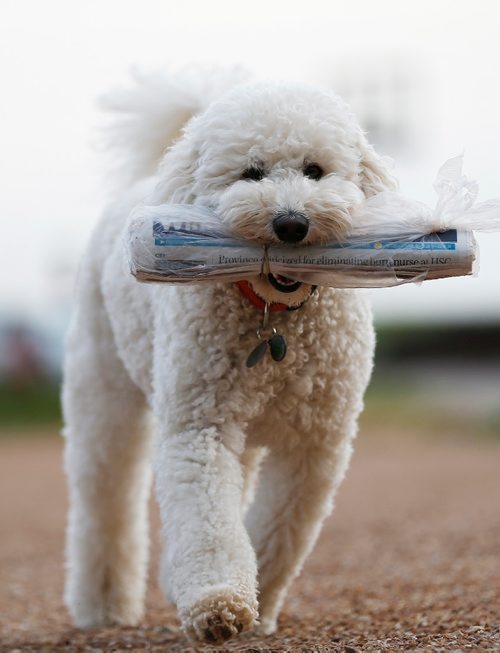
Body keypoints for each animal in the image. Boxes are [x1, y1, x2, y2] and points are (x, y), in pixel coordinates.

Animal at [62, 70, 394, 640]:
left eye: (314, 170)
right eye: (251, 173)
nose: (291, 224)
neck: (275, 317)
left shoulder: (315, 445)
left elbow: (280, 529)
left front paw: (256, 604)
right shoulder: (201, 427)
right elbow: (209, 522)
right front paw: (217, 603)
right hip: (103, 394)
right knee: (104, 499)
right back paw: (102, 606)